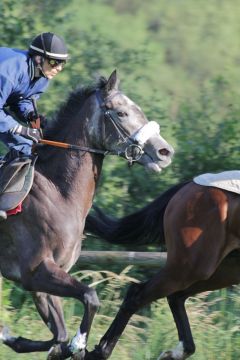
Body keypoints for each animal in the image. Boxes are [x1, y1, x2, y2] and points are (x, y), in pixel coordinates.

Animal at [0, 71, 173, 360]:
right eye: (121, 112)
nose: (165, 152)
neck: (57, 193)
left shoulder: (45, 279)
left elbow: (58, 335)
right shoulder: (35, 272)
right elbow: (90, 297)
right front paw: (79, 343)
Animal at [85, 179, 240, 358]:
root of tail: (188, 185)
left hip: (223, 270)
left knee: (174, 296)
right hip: (190, 268)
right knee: (138, 295)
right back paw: (100, 352)